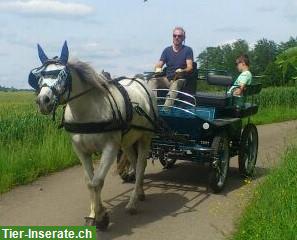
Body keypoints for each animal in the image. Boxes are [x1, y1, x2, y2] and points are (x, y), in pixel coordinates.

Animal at [29, 42, 157, 230]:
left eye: (62, 74)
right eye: (39, 75)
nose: (43, 101)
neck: (87, 111)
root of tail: (139, 81)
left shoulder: (110, 148)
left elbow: (97, 182)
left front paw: (101, 217)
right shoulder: (81, 151)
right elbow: (89, 181)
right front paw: (93, 214)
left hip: (145, 137)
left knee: (141, 165)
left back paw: (132, 203)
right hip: (127, 141)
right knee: (134, 162)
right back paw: (139, 191)